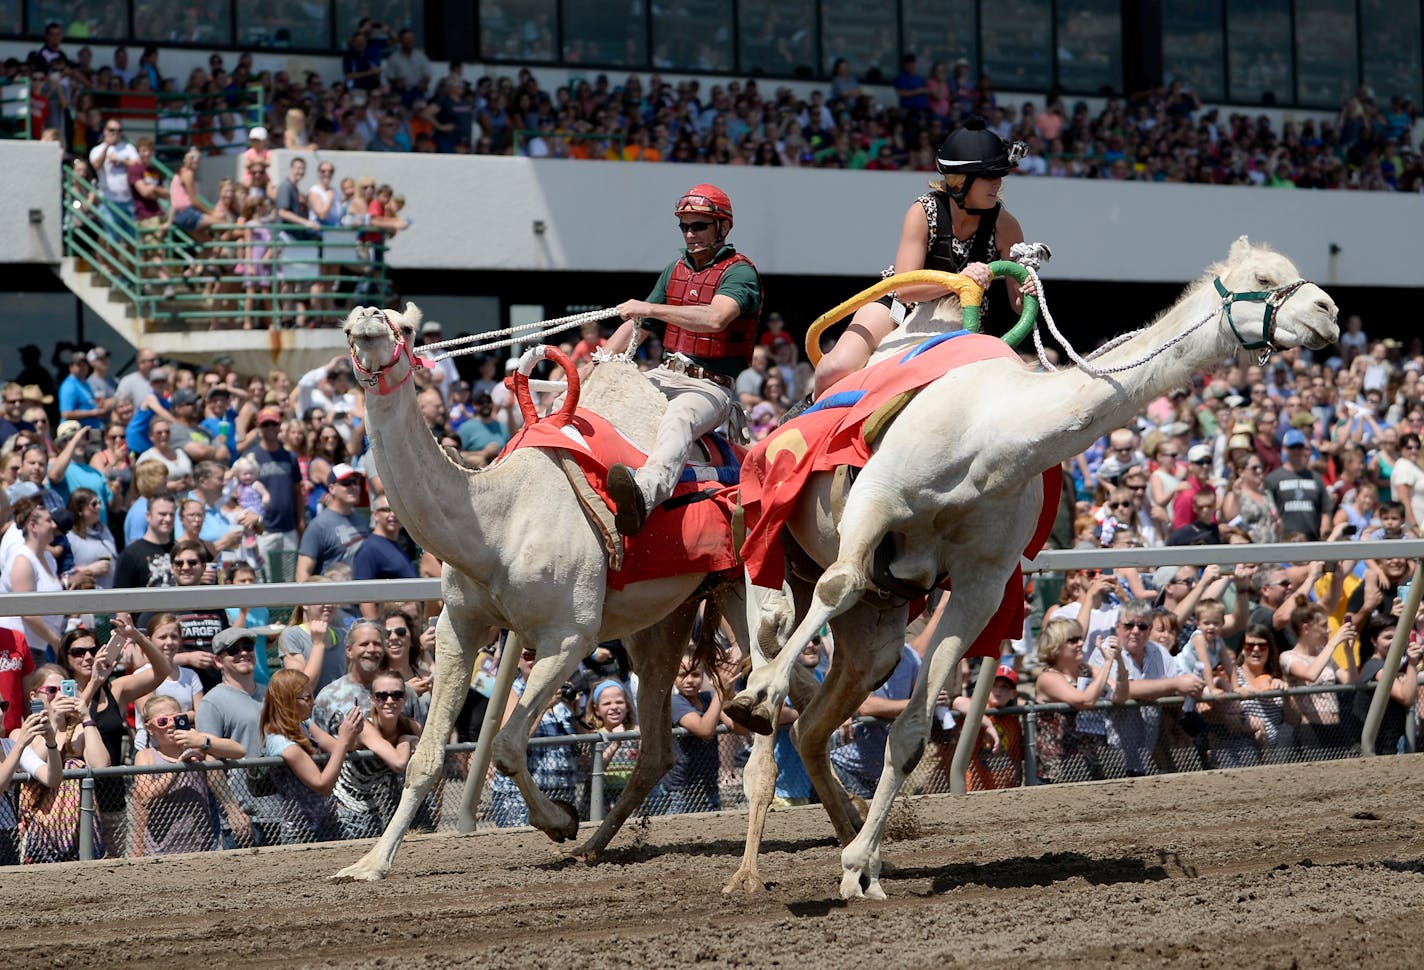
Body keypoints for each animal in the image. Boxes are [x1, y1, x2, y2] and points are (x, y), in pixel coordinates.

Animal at [723, 236, 1332, 900]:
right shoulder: (876, 501)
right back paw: (747, 863)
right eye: (1264, 277)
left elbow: (911, 733)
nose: (1326, 312)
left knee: (816, 720)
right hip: (765, 550)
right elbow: (838, 584)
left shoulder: (982, 581)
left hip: (877, 627)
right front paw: (758, 695)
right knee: (780, 639)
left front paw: (862, 865)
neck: (991, 441)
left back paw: (855, 848)